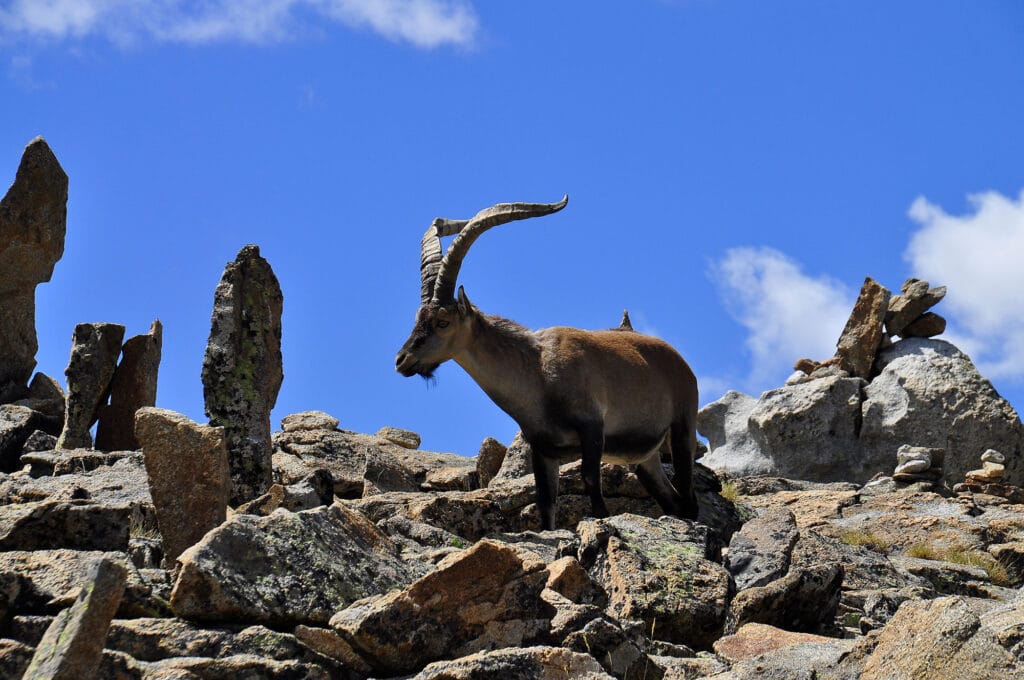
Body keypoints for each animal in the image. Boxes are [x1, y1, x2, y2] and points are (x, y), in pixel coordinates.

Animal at [395, 196, 699, 530]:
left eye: (442, 321)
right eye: (417, 318)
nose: (402, 359)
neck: (538, 372)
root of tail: (679, 360)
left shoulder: (593, 428)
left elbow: (592, 483)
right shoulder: (544, 449)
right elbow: (545, 503)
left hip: (683, 426)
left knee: (689, 498)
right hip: (645, 459)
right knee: (673, 500)